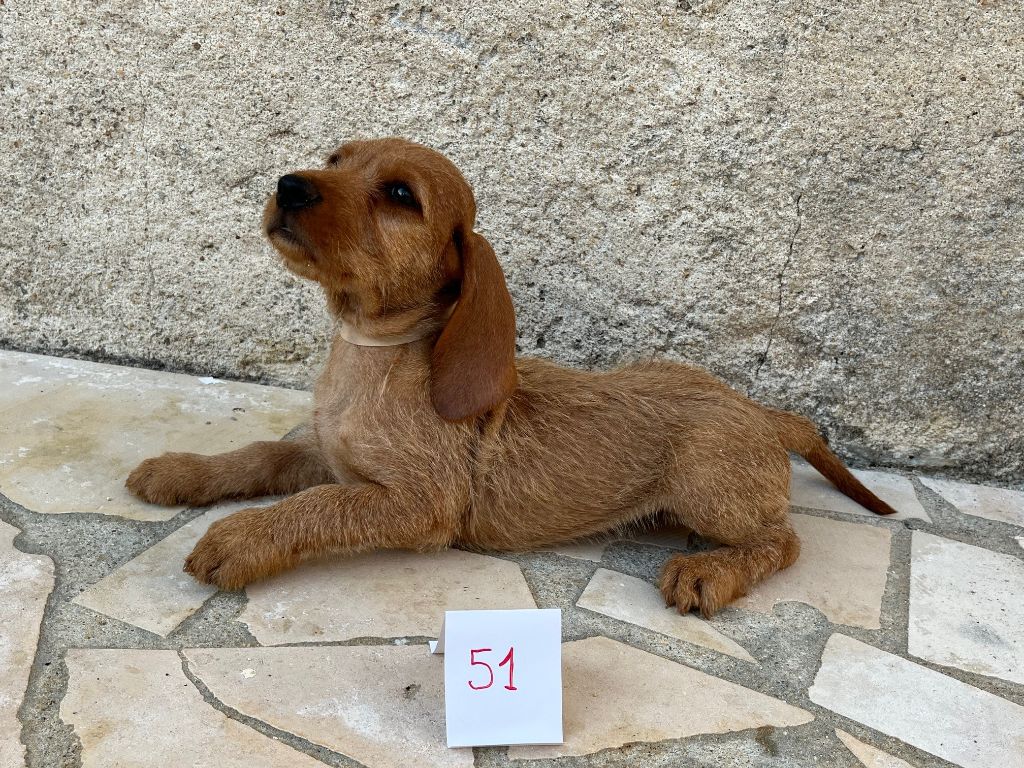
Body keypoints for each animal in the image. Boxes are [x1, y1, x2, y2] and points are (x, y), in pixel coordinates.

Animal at [125, 138, 897, 618]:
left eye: (399, 194)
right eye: (334, 159)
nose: (289, 185)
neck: (372, 356)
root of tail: (765, 414)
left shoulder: (417, 504)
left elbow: (316, 506)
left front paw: (239, 537)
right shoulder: (327, 454)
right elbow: (260, 454)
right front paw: (182, 470)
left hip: (710, 487)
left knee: (783, 541)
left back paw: (713, 569)